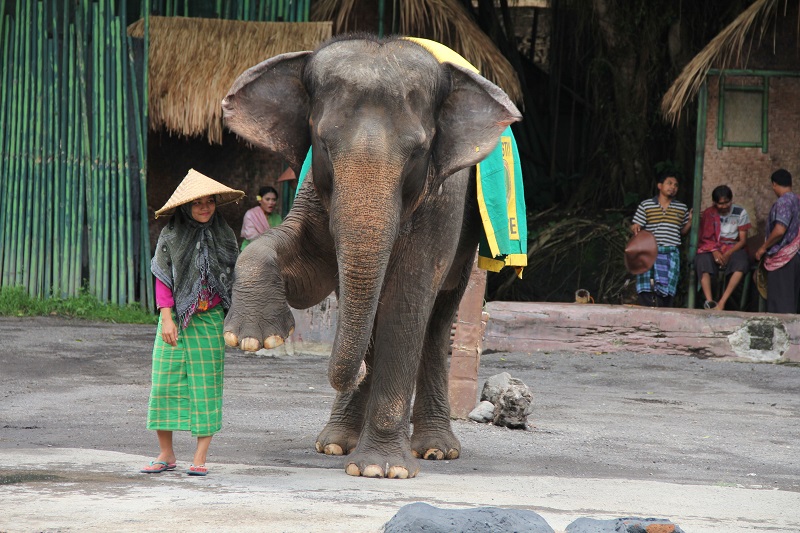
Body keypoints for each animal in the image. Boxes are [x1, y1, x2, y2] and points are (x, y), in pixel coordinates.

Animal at [222, 35, 520, 480]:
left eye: (417, 152)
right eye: (323, 143)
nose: (356, 369)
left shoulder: (442, 201)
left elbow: (405, 300)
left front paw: (383, 470)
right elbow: (309, 273)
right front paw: (252, 337)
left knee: (439, 318)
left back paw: (435, 450)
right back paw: (334, 443)